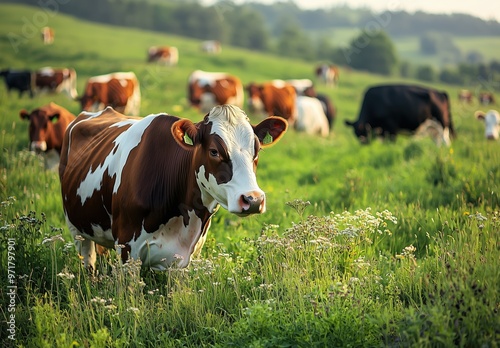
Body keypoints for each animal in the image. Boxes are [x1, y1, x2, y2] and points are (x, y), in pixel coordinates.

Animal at [59, 104, 288, 270]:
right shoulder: (127, 251)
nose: (253, 199)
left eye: (257, 150)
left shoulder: (185, 259)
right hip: (77, 228)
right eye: (214, 151)